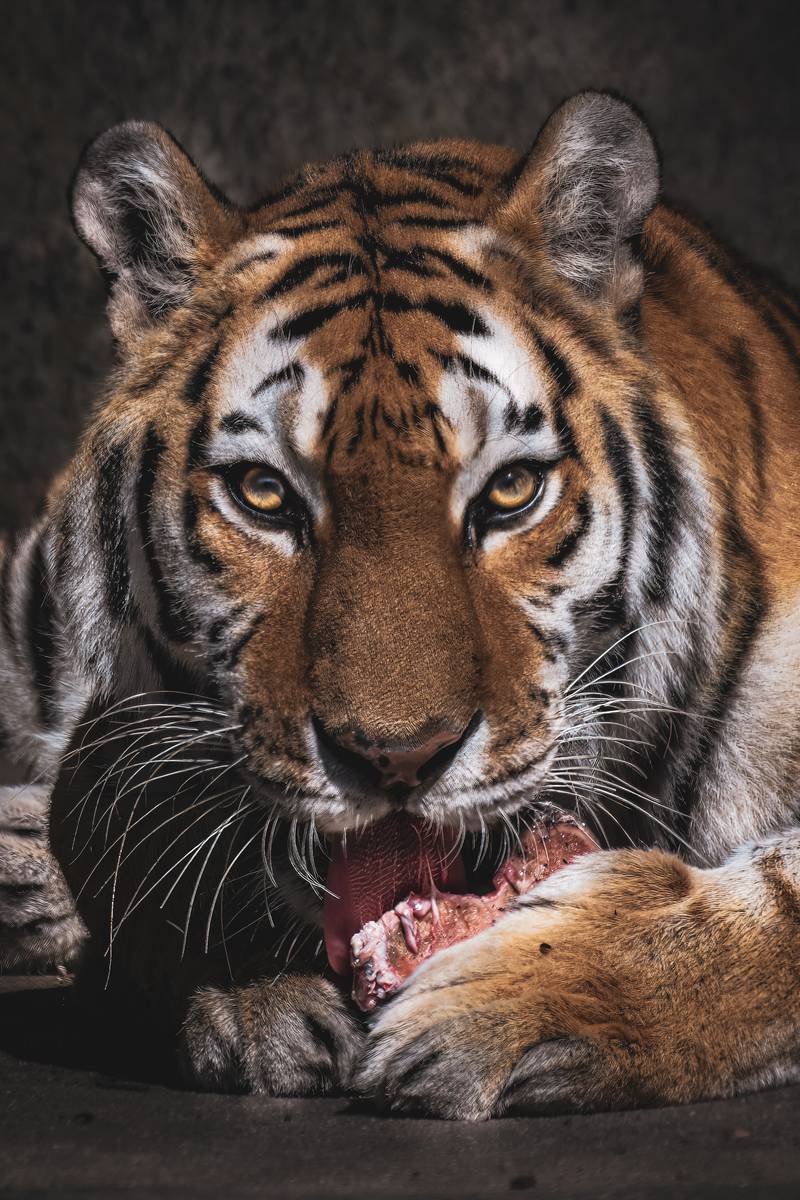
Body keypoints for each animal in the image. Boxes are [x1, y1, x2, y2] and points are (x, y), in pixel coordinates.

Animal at [1, 88, 800, 1118]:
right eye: (264, 495)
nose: (397, 761)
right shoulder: (119, 726)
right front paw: (260, 996)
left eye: (511, 492)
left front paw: (504, 1005)